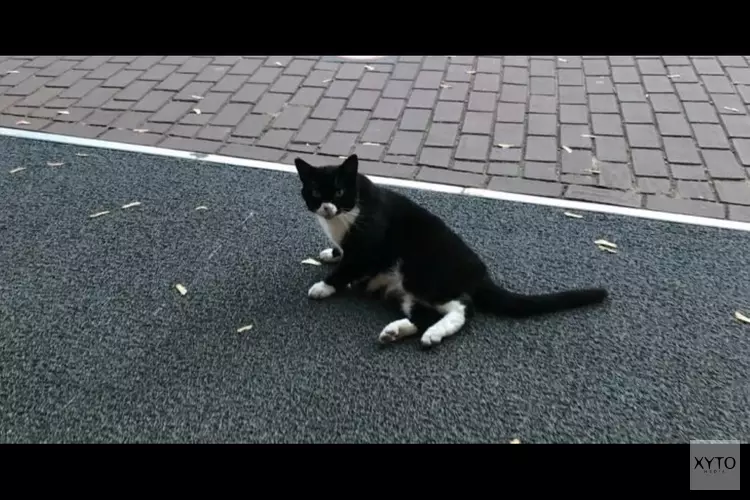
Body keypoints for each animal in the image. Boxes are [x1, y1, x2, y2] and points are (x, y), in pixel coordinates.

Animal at [294, 155, 612, 348]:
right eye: (315, 192)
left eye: (338, 192)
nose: (327, 207)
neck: (342, 218)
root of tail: (480, 273)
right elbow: (342, 253)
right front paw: (330, 253)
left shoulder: (367, 246)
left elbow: (347, 267)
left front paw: (323, 286)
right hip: (412, 289)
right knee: (425, 316)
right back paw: (397, 331)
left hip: (420, 272)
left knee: (464, 308)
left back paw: (432, 334)